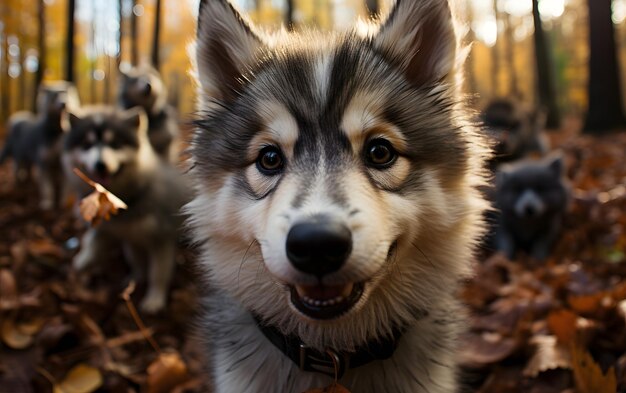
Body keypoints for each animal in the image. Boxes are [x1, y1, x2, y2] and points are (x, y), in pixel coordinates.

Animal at [63, 105, 190, 312]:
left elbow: (158, 272)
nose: (100, 165)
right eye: (87, 144)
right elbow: (127, 258)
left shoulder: (161, 238)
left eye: (115, 144)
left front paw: (154, 299)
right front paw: (84, 261)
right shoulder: (124, 235)